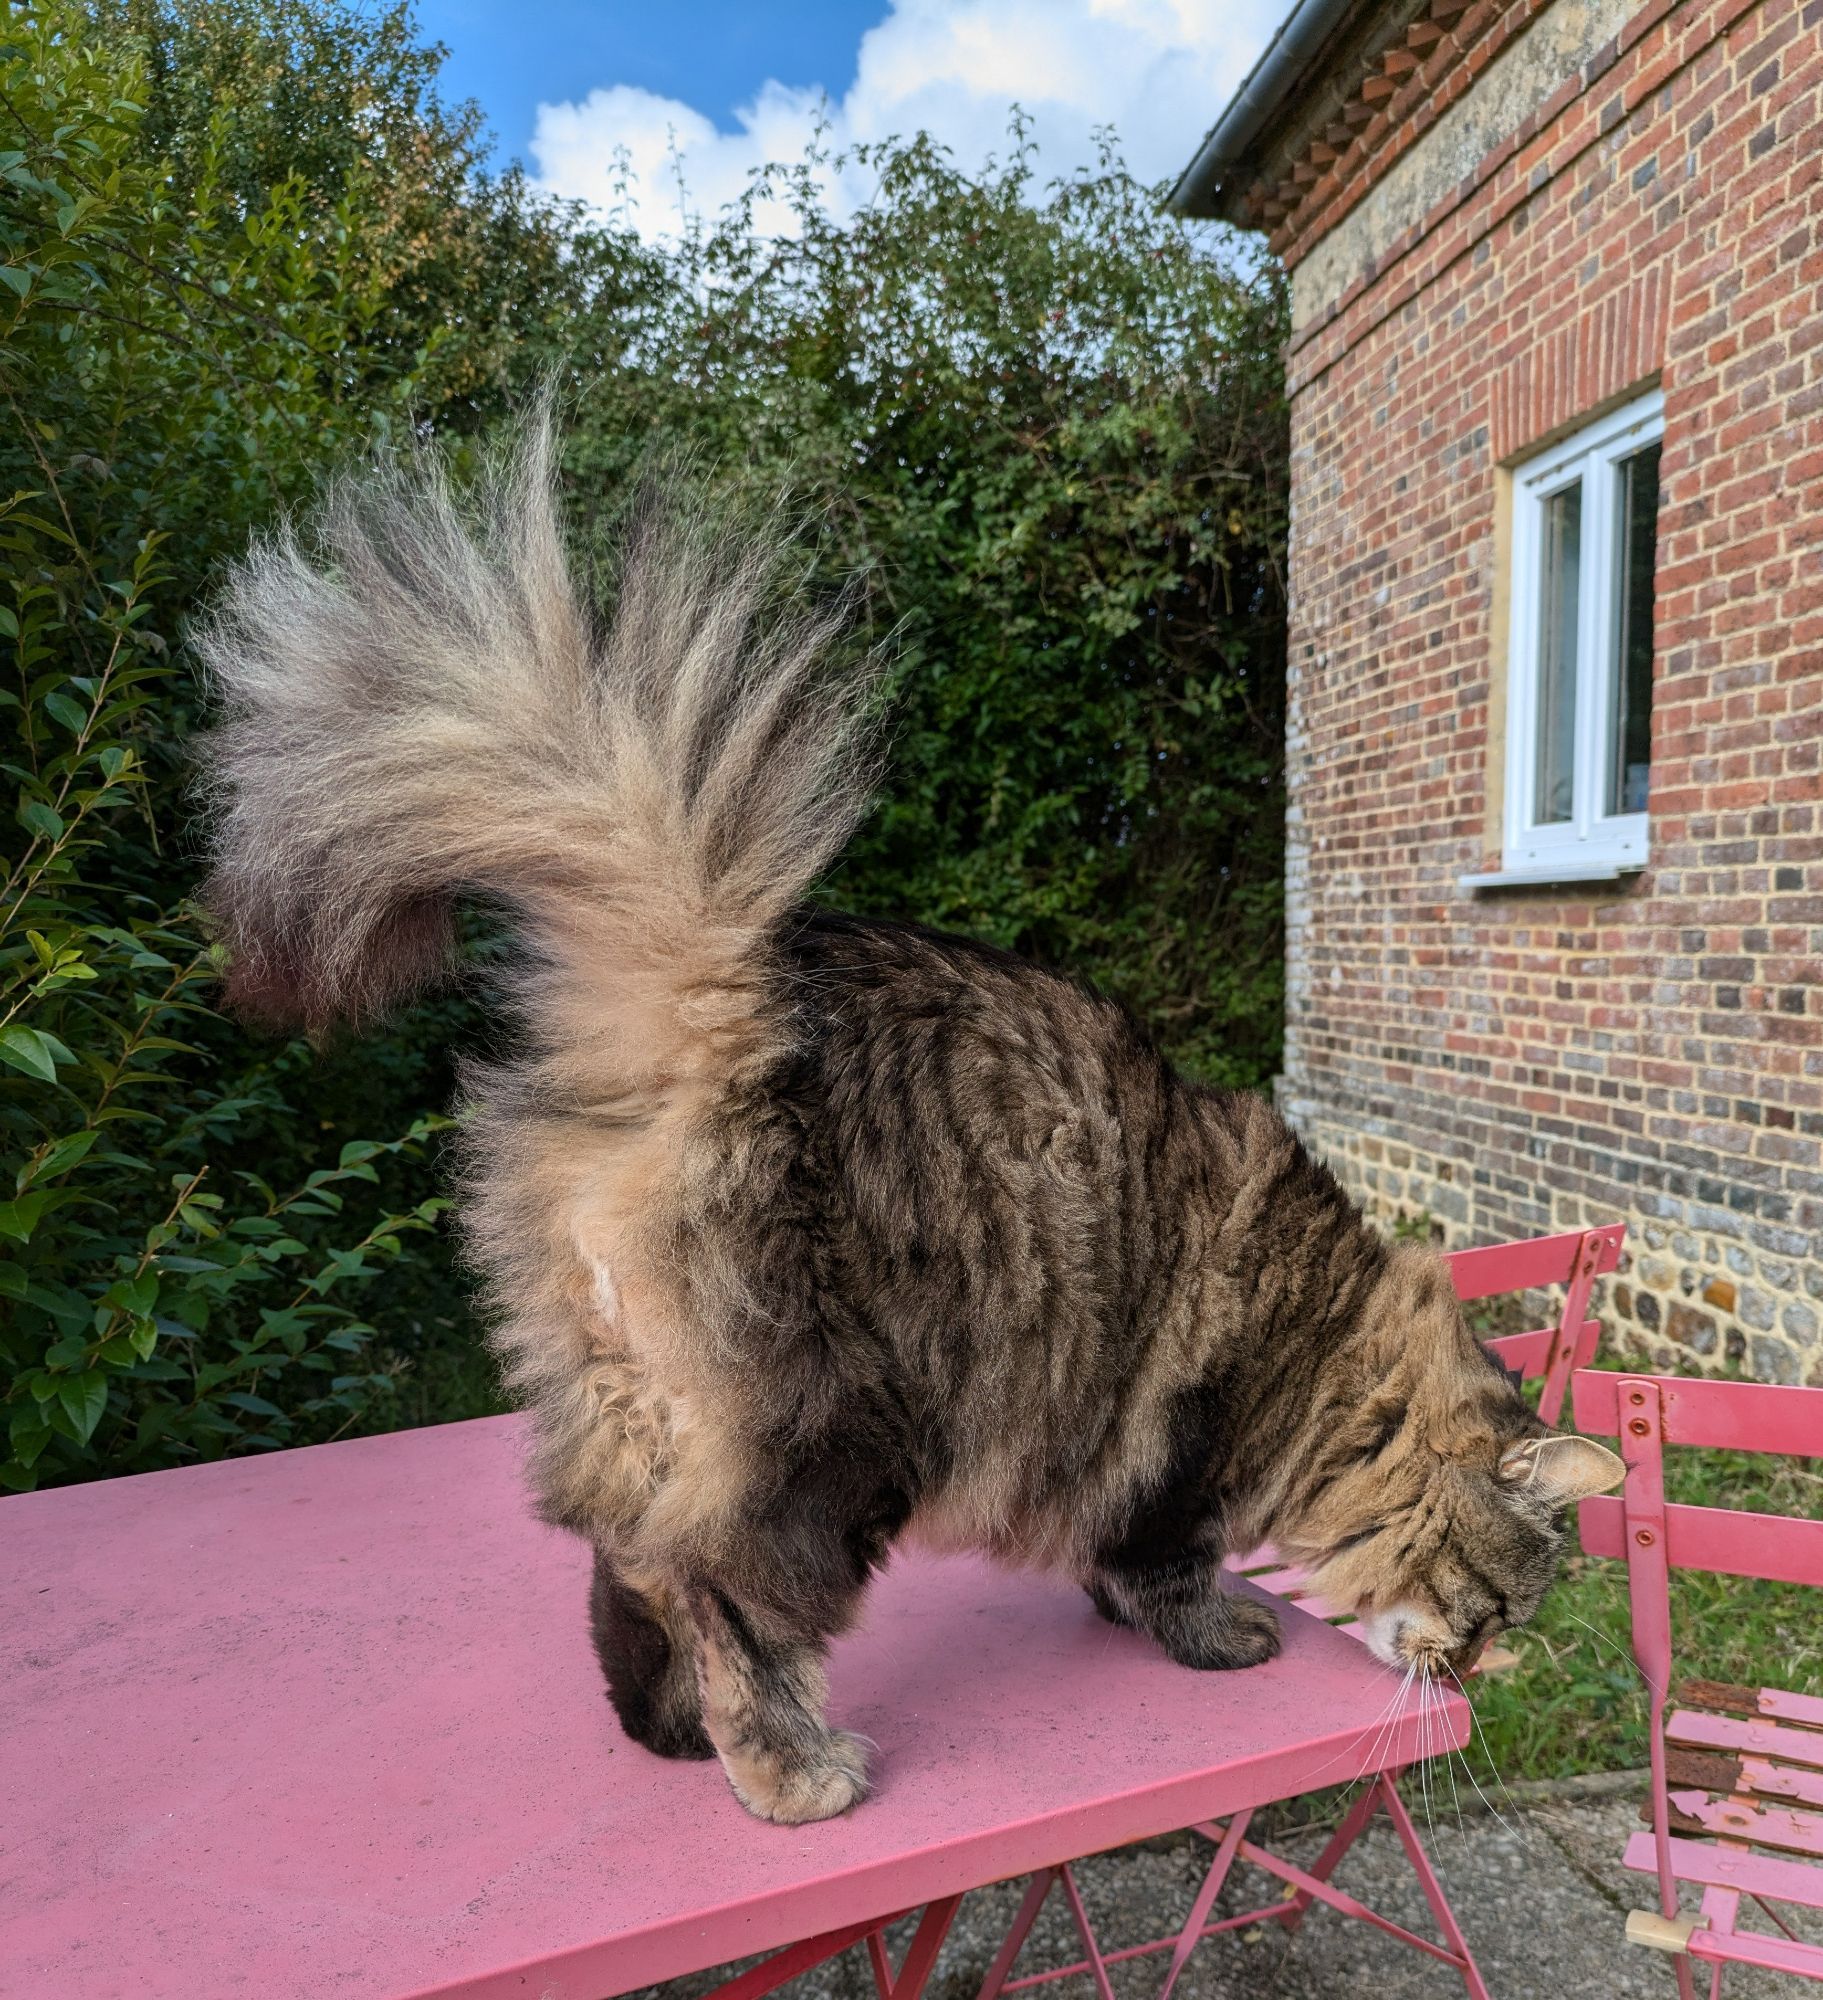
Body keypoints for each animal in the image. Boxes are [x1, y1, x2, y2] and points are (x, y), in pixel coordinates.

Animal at [199, 422, 1623, 1832]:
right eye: (1497, 1603)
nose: (1483, 1663)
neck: (1326, 1340)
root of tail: (706, 1014)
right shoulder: (1175, 1447)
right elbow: (1163, 1563)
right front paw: (1220, 1633)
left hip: (642, 1419)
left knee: (630, 1567)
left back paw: (664, 1730)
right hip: (834, 1447)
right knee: (717, 1589)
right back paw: (789, 1773)